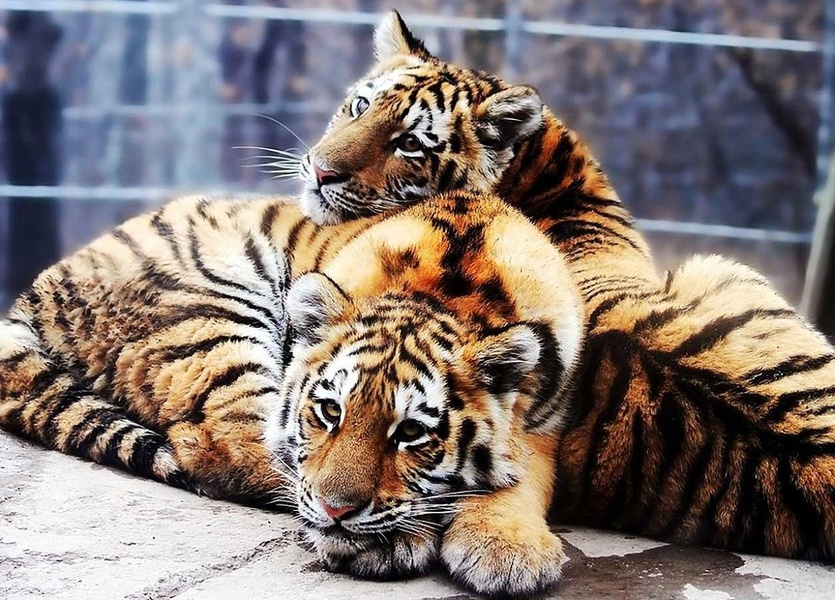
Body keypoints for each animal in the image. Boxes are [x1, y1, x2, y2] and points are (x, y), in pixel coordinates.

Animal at [0, 190, 585, 597]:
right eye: (328, 411)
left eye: (411, 434)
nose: (334, 512)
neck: (450, 295)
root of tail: (41, 286)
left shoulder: (548, 423)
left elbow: (521, 478)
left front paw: (507, 552)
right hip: (212, 317)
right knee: (224, 447)